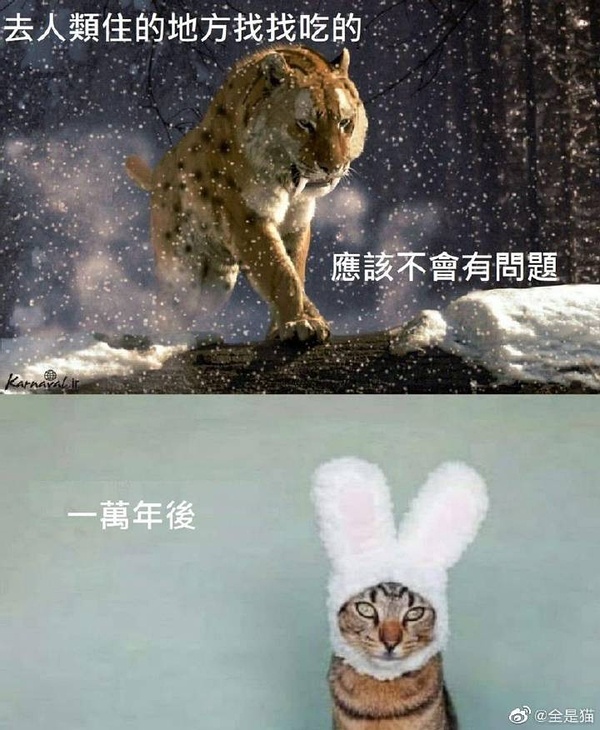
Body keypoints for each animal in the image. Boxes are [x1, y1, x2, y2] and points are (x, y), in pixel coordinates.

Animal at [125, 44, 368, 343]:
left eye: (345, 122)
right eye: (304, 124)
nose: (332, 167)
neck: (290, 186)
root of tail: (159, 173)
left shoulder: (296, 224)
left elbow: (294, 271)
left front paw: (287, 327)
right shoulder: (248, 218)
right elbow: (281, 273)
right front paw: (298, 324)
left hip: (216, 284)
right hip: (183, 273)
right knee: (166, 308)